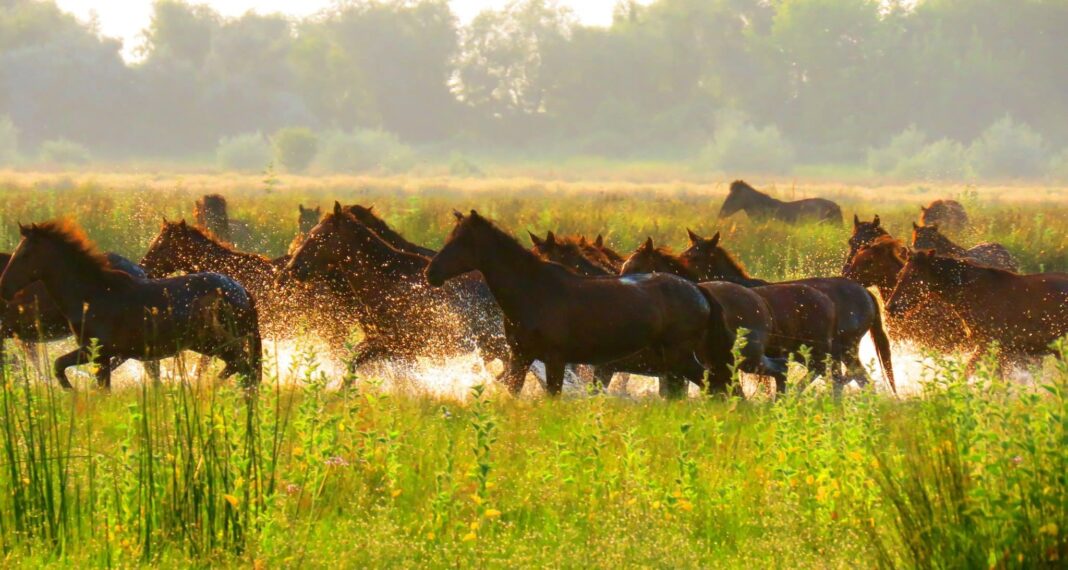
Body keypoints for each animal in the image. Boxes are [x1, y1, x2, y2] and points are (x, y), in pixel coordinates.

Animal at [0, 220, 260, 390]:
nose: (3, 287)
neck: (91, 294)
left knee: (242, 369)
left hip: (213, 342)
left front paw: (72, 393)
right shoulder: (101, 355)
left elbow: (58, 366)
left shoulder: (96, 350)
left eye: (24, 255)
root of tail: (242, 292)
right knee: (241, 370)